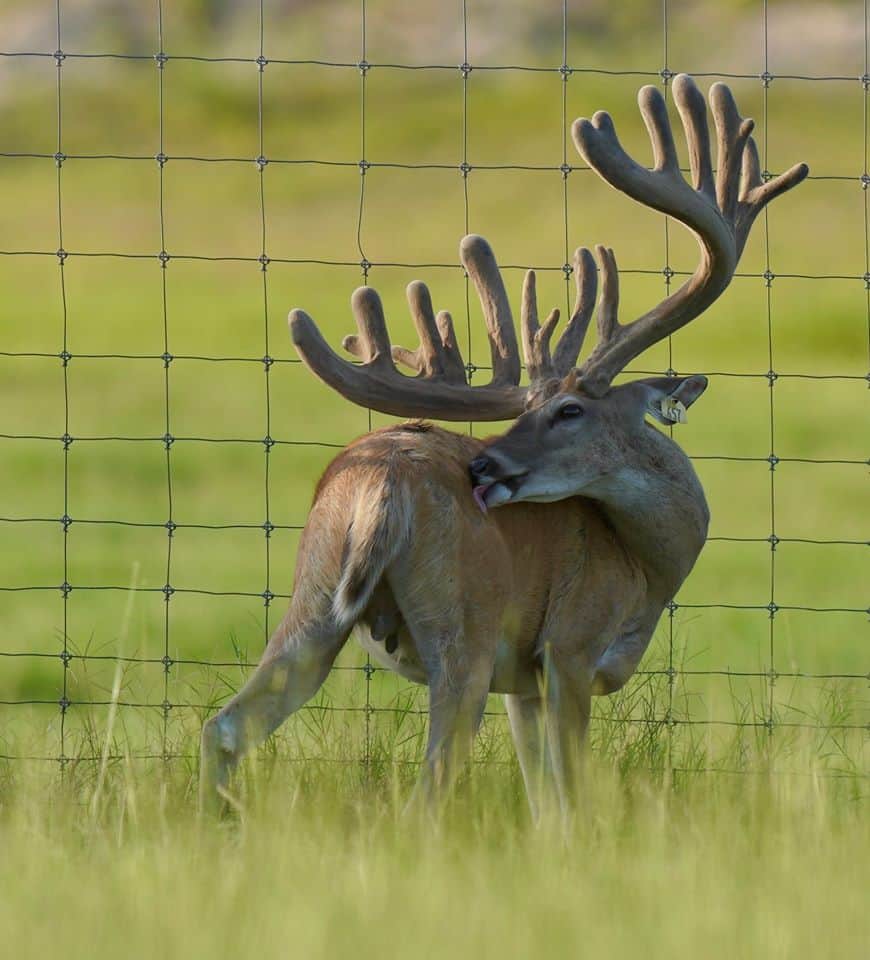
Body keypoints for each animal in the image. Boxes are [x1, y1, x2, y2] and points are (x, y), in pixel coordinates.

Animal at [200, 75, 807, 819]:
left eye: (568, 410)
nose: (484, 464)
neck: (647, 570)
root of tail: (381, 482)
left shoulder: (523, 681)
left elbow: (543, 802)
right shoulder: (569, 645)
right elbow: (573, 794)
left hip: (313, 594)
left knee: (226, 725)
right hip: (465, 624)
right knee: (428, 785)